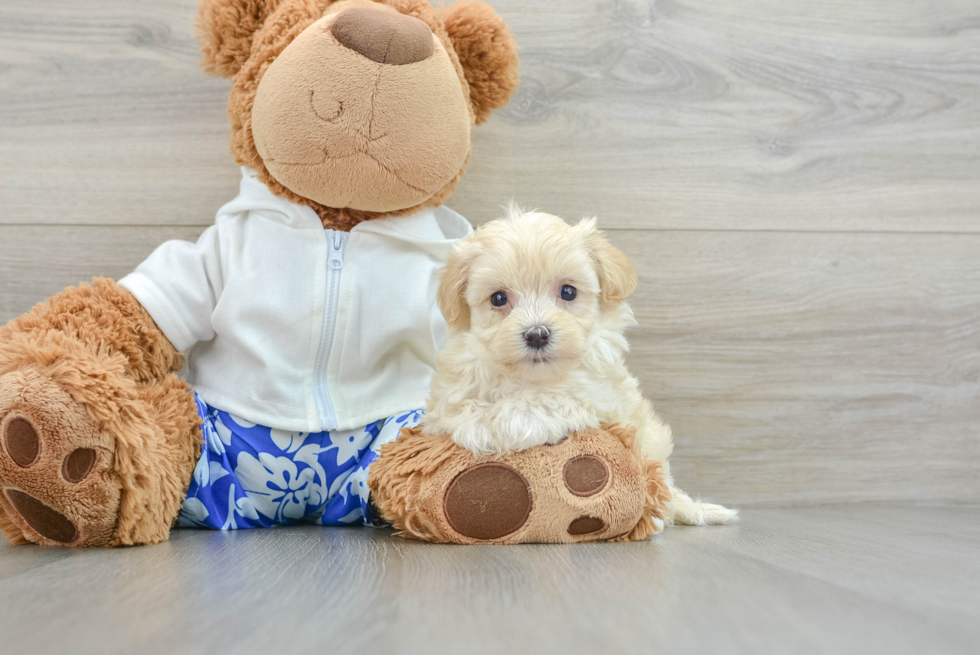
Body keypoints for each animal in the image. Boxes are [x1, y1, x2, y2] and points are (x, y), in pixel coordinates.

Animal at [422, 208, 736, 524]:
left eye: (568, 292)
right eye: (498, 298)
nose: (537, 334)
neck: (530, 378)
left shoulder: (597, 397)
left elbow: (544, 402)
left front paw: (494, 424)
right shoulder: (449, 392)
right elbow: (453, 411)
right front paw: (475, 421)